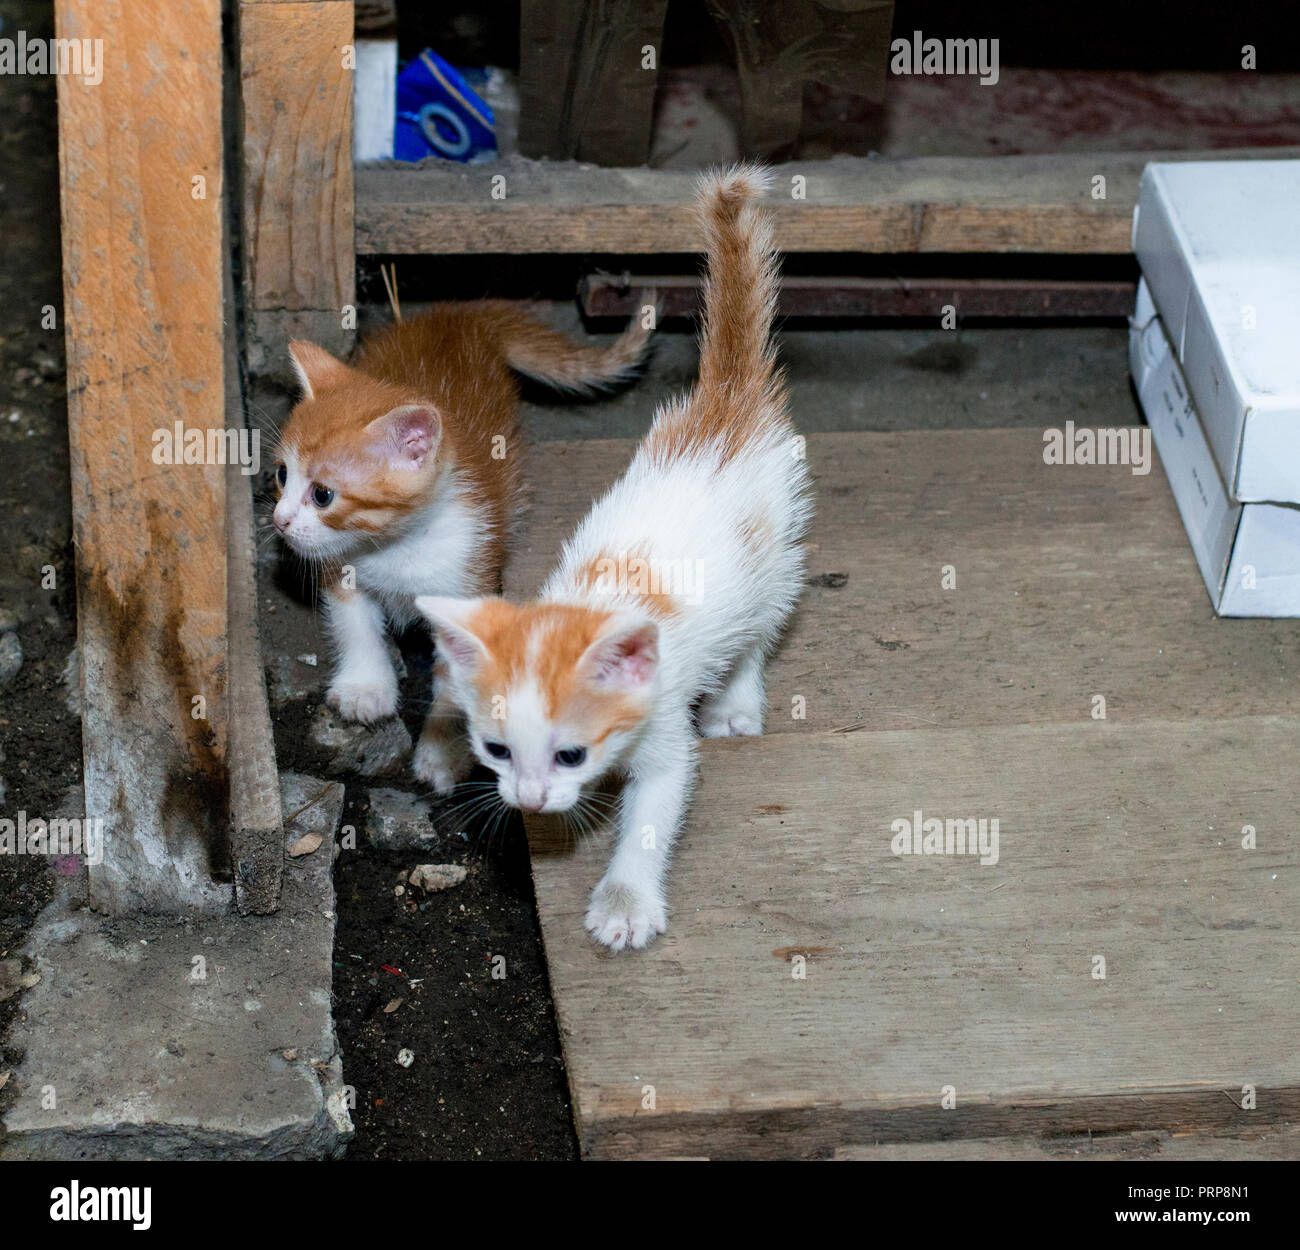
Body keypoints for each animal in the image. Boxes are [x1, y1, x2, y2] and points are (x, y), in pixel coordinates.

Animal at [276, 300, 660, 790]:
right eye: (281, 474)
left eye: (323, 494)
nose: (279, 521)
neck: (397, 547)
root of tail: (456, 315)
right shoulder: (340, 564)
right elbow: (354, 622)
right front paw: (366, 687)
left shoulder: (468, 581)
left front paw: (441, 753)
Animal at [416, 165, 806, 945]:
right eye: (496, 750)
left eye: (571, 752)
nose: (531, 799)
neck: (594, 602)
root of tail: (726, 404)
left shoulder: (663, 731)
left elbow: (655, 809)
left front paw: (626, 901)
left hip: (776, 552)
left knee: (761, 629)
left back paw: (738, 700)